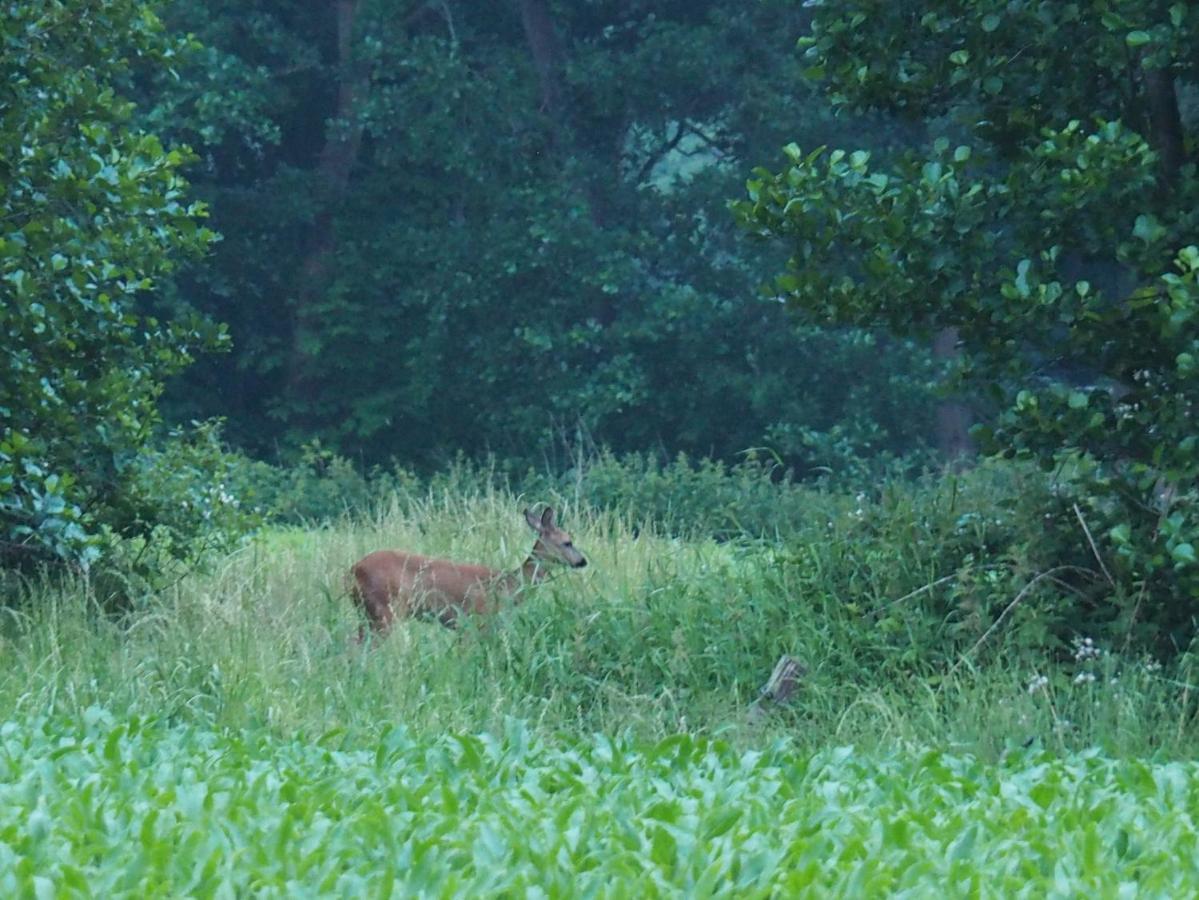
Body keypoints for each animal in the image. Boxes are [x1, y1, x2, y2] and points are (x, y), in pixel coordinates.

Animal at [350, 508, 587, 642]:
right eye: (568, 542)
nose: (582, 561)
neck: (508, 586)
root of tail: (353, 569)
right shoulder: (476, 619)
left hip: (367, 612)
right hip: (386, 609)